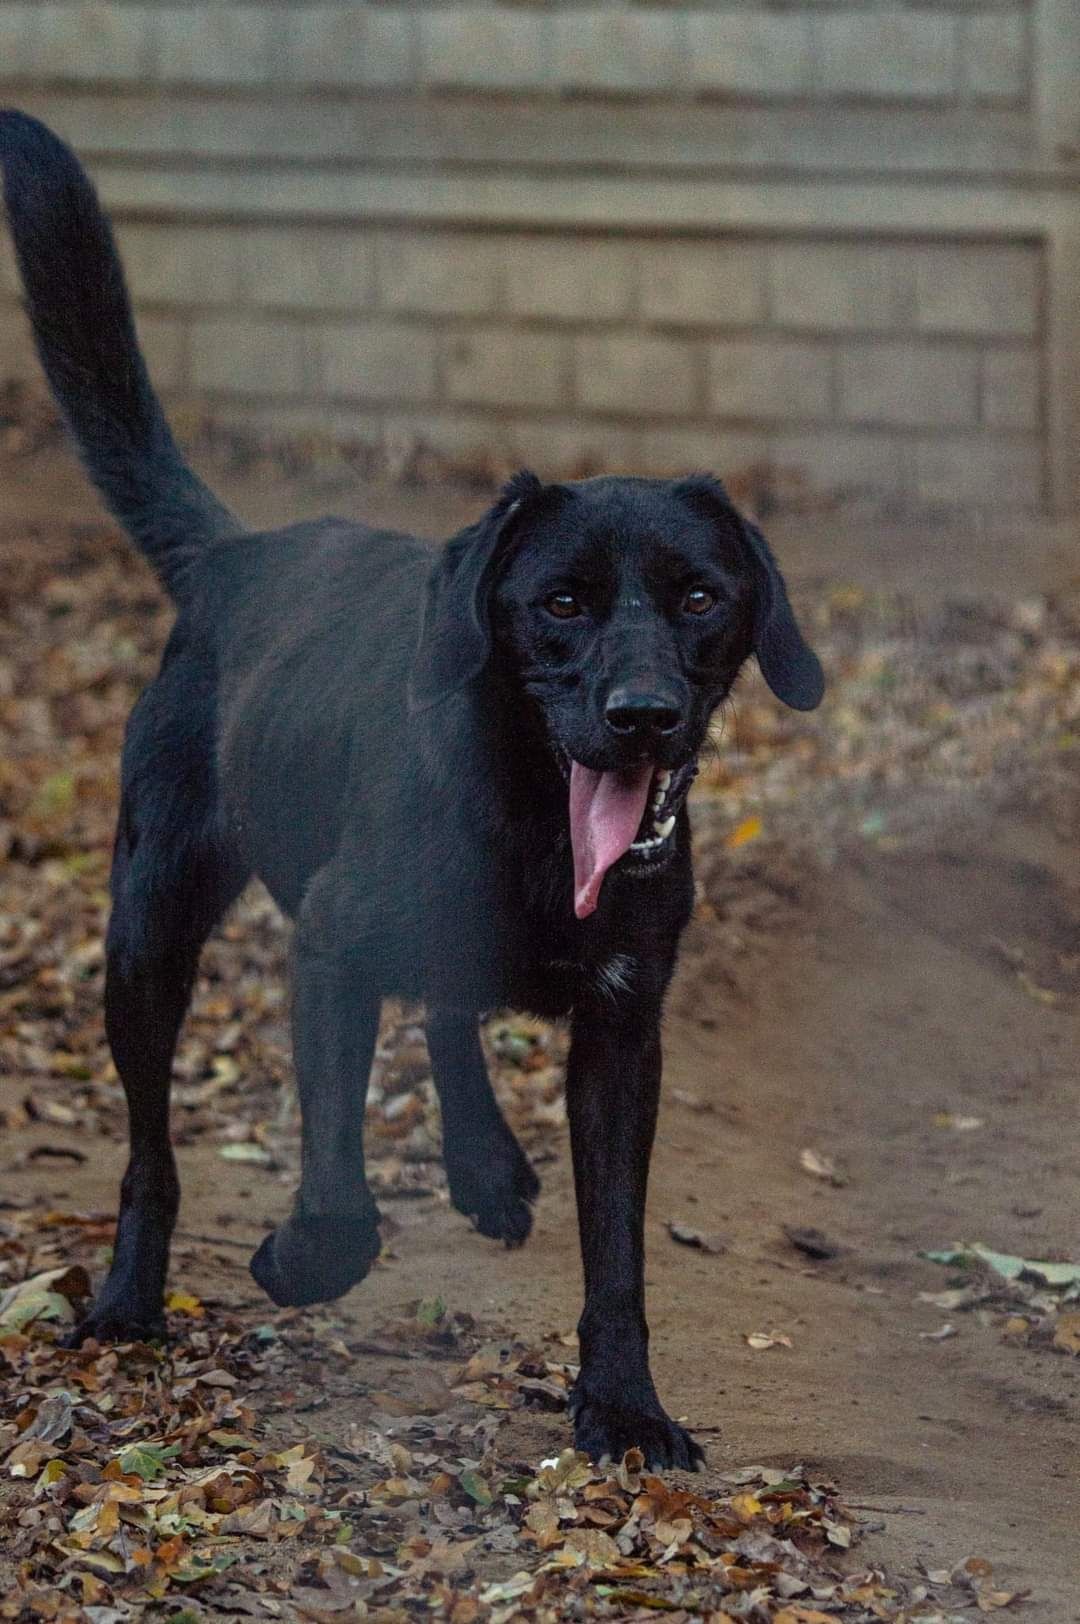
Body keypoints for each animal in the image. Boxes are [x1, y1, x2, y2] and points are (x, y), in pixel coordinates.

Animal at [2, 107, 825, 1468]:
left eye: (703, 596)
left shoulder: (624, 1028)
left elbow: (616, 1252)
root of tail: (235, 555)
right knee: (151, 1149)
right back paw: (127, 1298)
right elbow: (339, 1190)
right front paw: (295, 1261)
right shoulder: (328, 948)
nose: (643, 717)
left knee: (445, 1008)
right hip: (147, 924)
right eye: (562, 602)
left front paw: (625, 1405)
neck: (532, 828)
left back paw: (486, 1166)